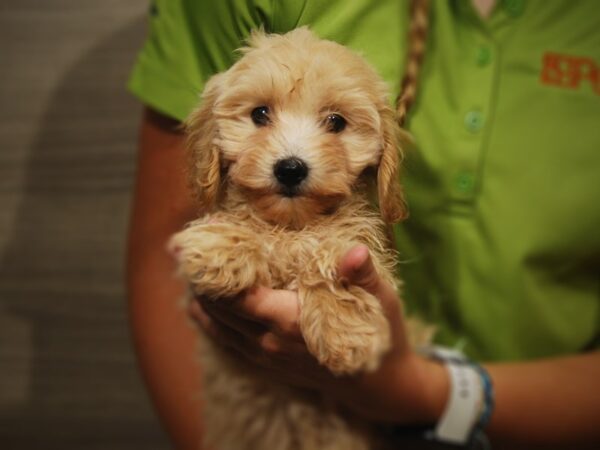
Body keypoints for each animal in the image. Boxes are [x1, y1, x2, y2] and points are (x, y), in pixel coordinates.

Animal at [168, 28, 412, 450]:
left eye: (336, 122)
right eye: (259, 114)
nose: (291, 168)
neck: (293, 225)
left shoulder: (365, 253)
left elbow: (334, 253)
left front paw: (345, 331)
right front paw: (221, 248)